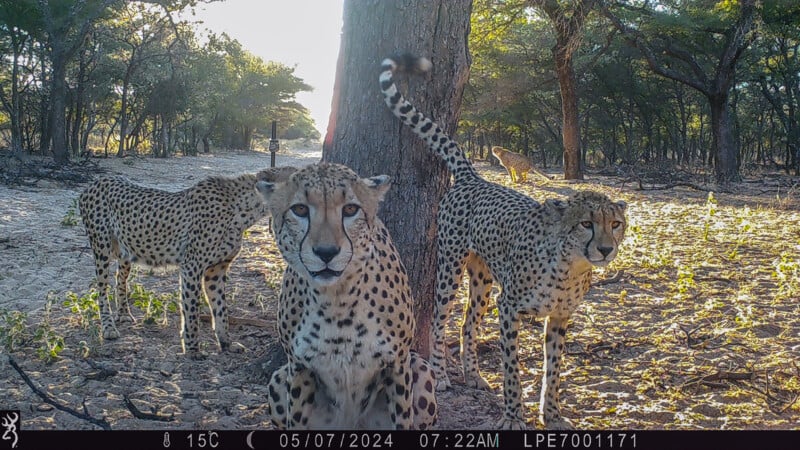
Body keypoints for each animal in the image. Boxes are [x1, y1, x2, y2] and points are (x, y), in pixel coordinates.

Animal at [79, 167, 294, 358]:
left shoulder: (216, 269)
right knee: (101, 289)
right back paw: (108, 328)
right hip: (101, 248)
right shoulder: (192, 266)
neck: (244, 209)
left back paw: (123, 313)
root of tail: (98, 180)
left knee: (120, 279)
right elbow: (191, 309)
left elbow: (221, 308)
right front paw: (192, 349)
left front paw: (226, 343)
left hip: (126, 250)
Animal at [255, 162, 437, 430]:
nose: (326, 252)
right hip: (279, 378)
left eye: (351, 209)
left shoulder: (398, 362)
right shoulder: (299, 366)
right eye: (300, 209)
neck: (337, 301)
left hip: (421, 368)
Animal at [381, 54, 627, 430]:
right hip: (450, 267)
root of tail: (474, 177)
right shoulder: (508, 306)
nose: (605, 249)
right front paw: (513, 416)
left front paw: (552, 415)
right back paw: (442, 374)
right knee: (439, 321)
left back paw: (474, 375)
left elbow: (553, 371)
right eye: (586, 223)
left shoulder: (559, 316)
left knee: (467, 324)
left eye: (615, 224)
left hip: (482, 281)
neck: (569, 266)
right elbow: (512, 369)